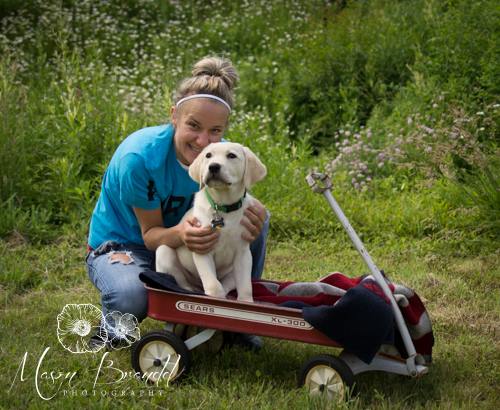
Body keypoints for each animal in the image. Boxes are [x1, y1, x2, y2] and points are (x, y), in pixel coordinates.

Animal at [156, 142, 267, 302]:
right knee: (181, 282)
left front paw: (246, 302)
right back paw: (191, 290)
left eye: (231, 155)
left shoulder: (243, 253)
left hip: (235, 270)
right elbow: (213, 284)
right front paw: (214, 298)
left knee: (227, 285)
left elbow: (245, 285)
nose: (213, 166)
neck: (223, 207)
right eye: (208, 155)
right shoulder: (202, 247)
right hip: (164, 253)